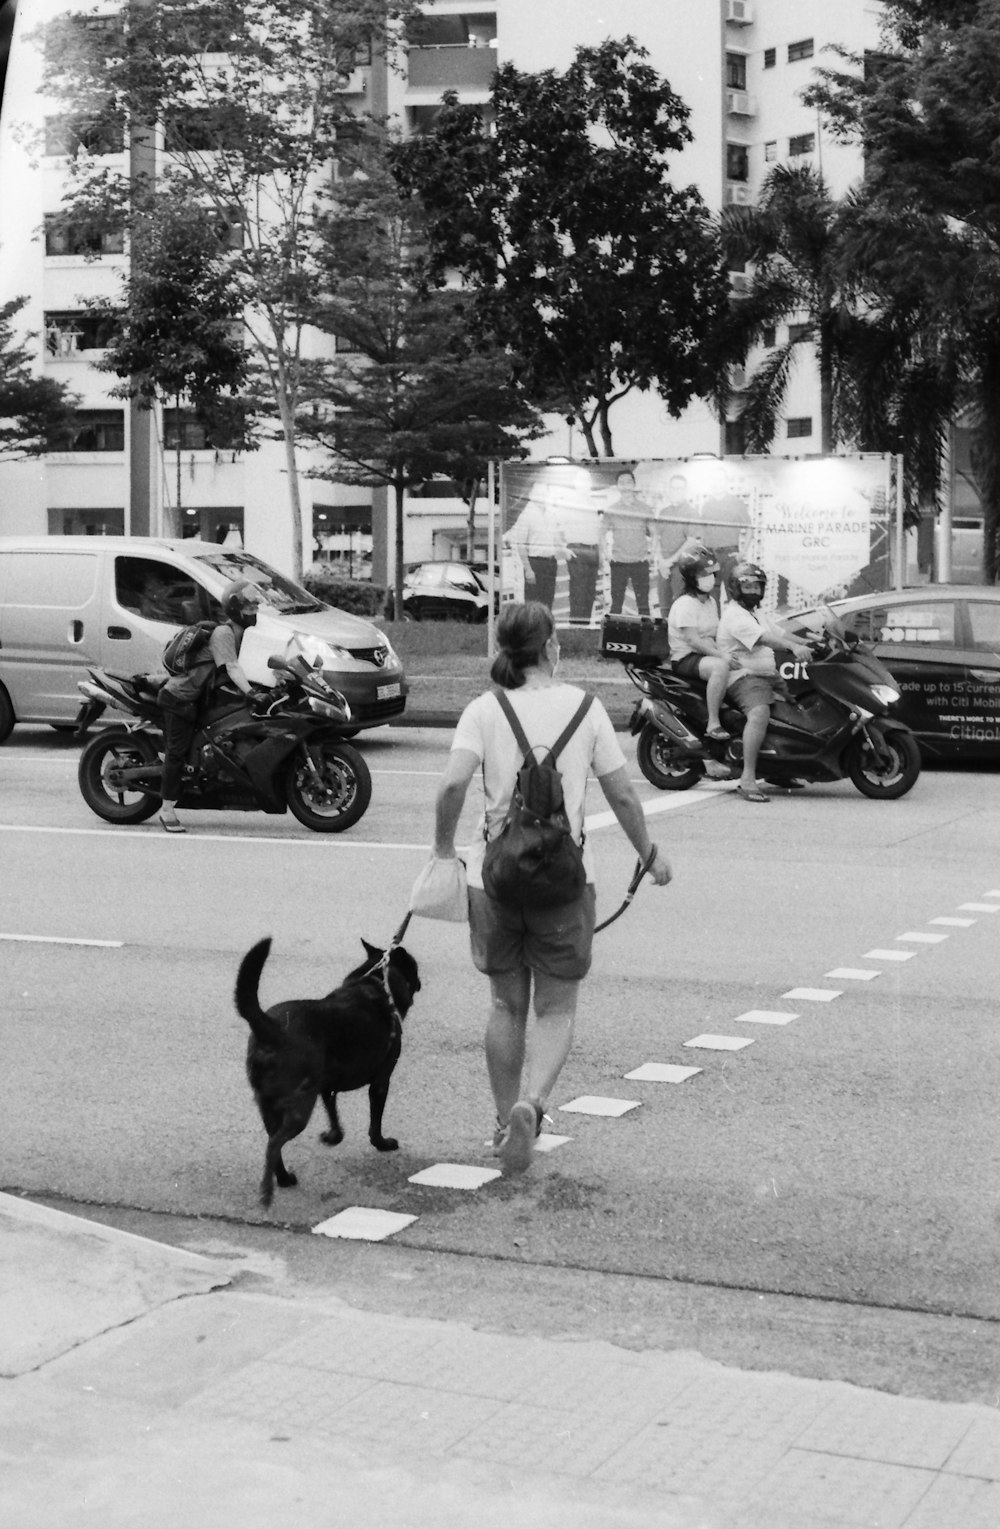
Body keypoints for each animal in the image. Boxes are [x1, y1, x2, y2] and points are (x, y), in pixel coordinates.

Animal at [237, 929, 422, 1204]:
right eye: (414, 967)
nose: (419, 982)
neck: (377, 983)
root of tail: (270, 1028)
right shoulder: (381, 1081)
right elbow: (375, 1122)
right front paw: (382, 1143)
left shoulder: (326, 1086)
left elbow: (333, 1114)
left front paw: (333, 1137)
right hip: (300, 1105)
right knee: (273, 1145)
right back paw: (267, 1192)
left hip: (268, 1104)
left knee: (273, 1141)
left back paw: (283, 1178)